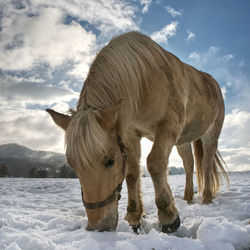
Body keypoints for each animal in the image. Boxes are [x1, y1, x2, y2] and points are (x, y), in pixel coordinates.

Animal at [46, 31, 229, 232]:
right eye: (73, 165)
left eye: (110, 160)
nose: (98, 227)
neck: (144, 81)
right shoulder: (130, 134)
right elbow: (132, 173)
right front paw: (134, 216)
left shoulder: (168, 127)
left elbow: (155, 164)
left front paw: (168, 216)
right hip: (183, 141)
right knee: (189, 164)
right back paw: (187, 198)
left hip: (211, 134)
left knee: (206, 164)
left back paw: (206, 198)